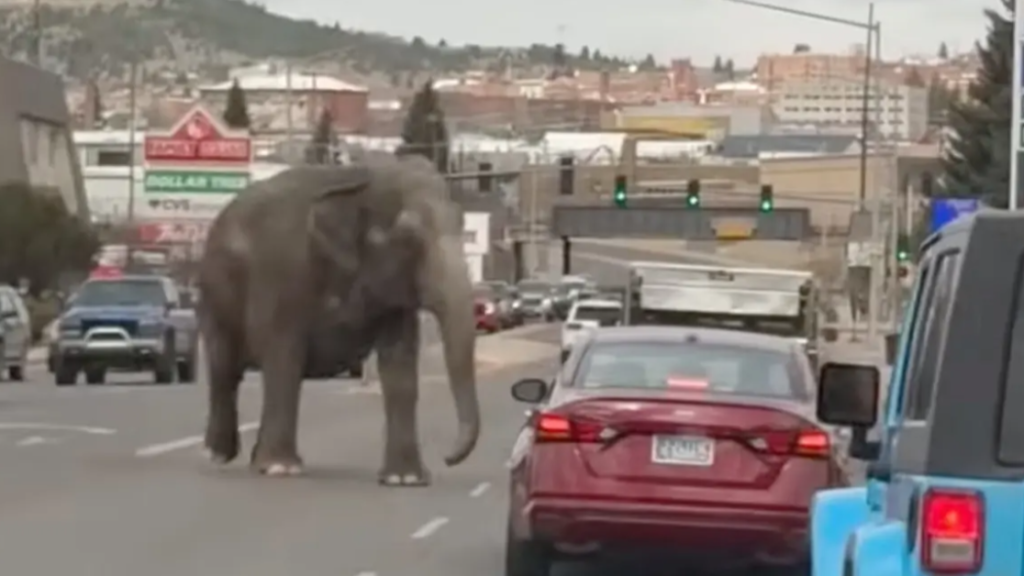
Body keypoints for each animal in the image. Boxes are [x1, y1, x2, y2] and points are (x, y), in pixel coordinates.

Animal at [197, 152, 481, 483]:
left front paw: (405, 478)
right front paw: (281, 468)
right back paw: (219, 454)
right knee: (224, 369)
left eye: (463, 224)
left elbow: (400, 366)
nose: (448, 458)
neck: (361, 177)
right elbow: (283, 358)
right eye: (409, 236)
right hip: (215, 292)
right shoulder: (284, 272)